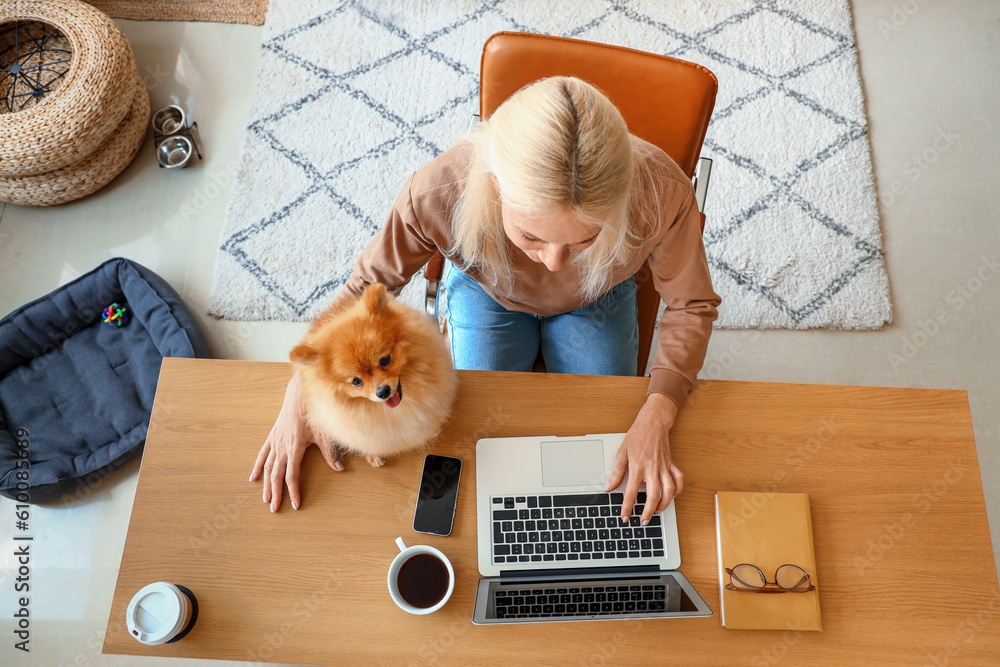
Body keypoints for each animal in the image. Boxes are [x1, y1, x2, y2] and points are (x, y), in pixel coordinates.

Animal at [292, 284, 458, 468]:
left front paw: (433, 429)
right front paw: (374, 455)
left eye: (385, 360)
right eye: (356, 381)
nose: (383, 391)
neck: (394, 411)